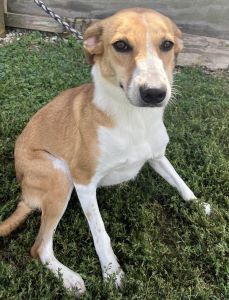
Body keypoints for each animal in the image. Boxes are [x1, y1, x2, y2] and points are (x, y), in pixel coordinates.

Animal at [0, 7, 209, 296]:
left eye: (167, 45)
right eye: (121, 45)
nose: (154, 94)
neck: (134, 118)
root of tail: (25, 195)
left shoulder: (157, 156)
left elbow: (179, 182)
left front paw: (198, 204)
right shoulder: (83, 181)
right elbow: (100, 232)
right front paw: (111, 272)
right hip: (60, 176)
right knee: (39, 247)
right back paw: (69, 278)